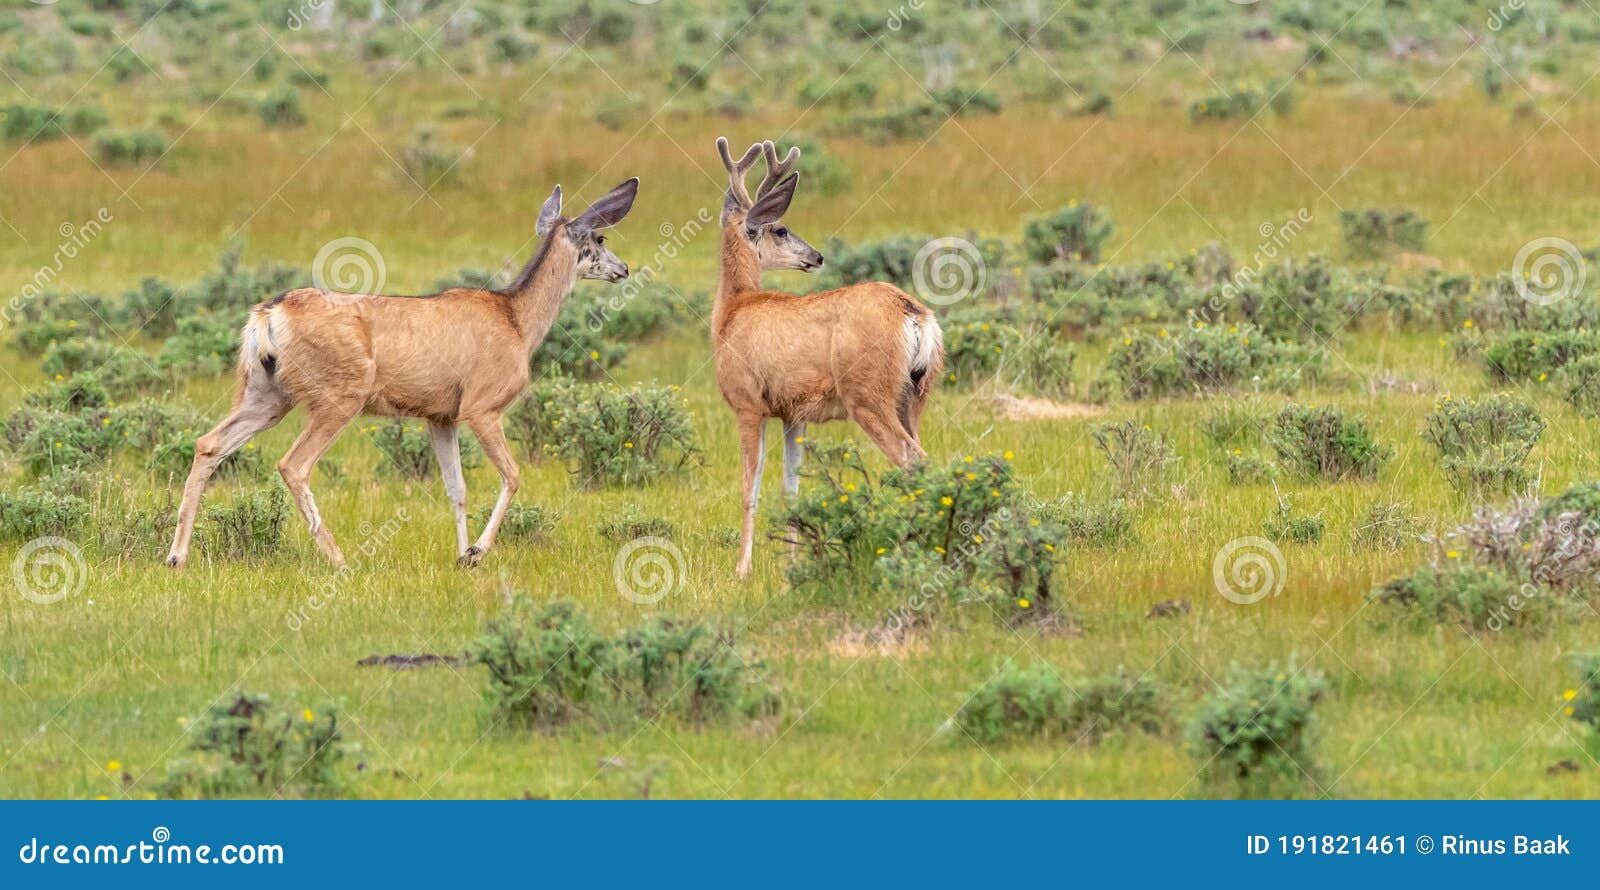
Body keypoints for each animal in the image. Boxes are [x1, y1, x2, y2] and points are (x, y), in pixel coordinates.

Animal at [162, 177, 636, 569]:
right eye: (600, 236)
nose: (624, 269)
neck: (517, 321)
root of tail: (267, 314)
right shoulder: (482, 405)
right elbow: (513, 476)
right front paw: (476, 553)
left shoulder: (440, 415)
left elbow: (456, 488)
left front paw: (460, 555)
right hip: (339, 396)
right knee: (292, 464)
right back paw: (340, 559)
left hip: (266, 394)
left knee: (209, 444)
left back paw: (176, 556)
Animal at [710, 135, 934, 579]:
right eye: (781, 228)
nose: (816, 257)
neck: (732, 311)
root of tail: (913, 314)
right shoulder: (792, 413)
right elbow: (791, 489)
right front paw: (792, 564)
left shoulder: (747, 403)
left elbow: (749, 487)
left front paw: (743, 569)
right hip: (913, 398)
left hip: (868, 394)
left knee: (913, 460)